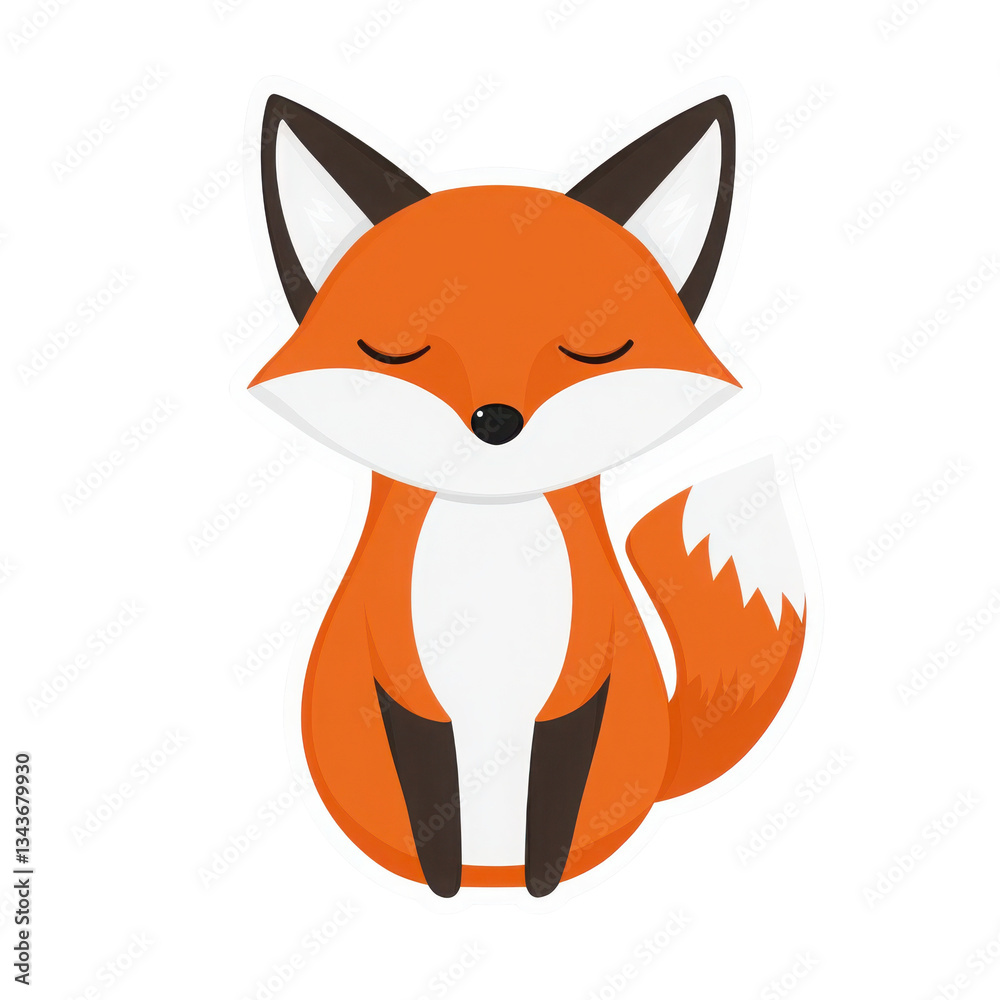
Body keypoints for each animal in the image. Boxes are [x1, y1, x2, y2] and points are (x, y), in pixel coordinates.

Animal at [244, 89, 808, 898]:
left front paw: (546, 878)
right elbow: (430, 780)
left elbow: (559, 773)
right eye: (399, 350)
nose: (495, 421)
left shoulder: (587, 663)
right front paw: (442, 881)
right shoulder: (395, 660)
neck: (492, 536)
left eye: (593, 348)